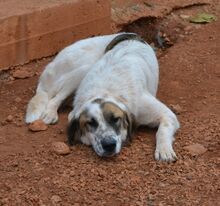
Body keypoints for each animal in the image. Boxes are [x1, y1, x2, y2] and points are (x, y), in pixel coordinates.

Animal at [25, 32, 180, 161]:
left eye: (116, 119)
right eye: (90, 123)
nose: (109, 145)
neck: (106, 90)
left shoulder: (166, 115)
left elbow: (162, 130)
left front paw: (164, 150)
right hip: (81, 70)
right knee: (54, 98)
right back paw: (50, 113)